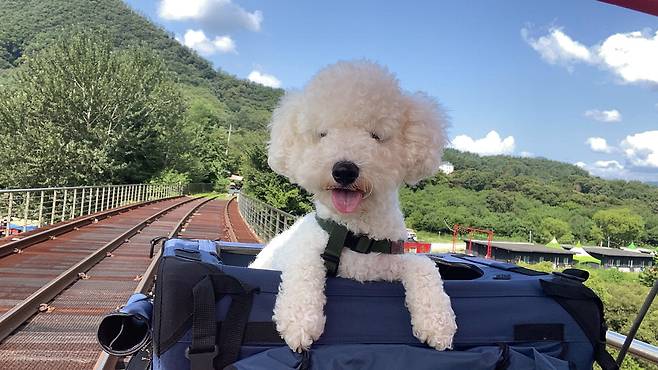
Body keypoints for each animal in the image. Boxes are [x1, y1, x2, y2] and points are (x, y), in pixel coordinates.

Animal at [249, 60, 454, 352]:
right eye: (322, 134)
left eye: (376, 135)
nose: (344, 170)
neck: (353, 232)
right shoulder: (303, 248)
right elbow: (303, 265)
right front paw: (299, 322)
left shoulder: (384, 263)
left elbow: (424, 265)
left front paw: (438, 323)